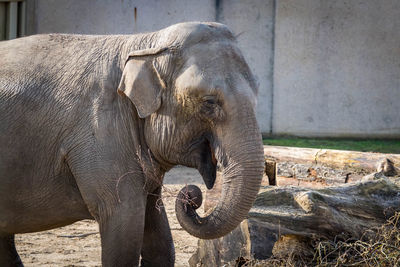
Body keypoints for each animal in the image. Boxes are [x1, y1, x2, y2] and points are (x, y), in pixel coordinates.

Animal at [0, 22, 266, 266]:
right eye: (209, 102)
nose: (192, 196)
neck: (144, 44)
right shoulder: (102, 133)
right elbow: (124, 224)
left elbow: (159, 236)